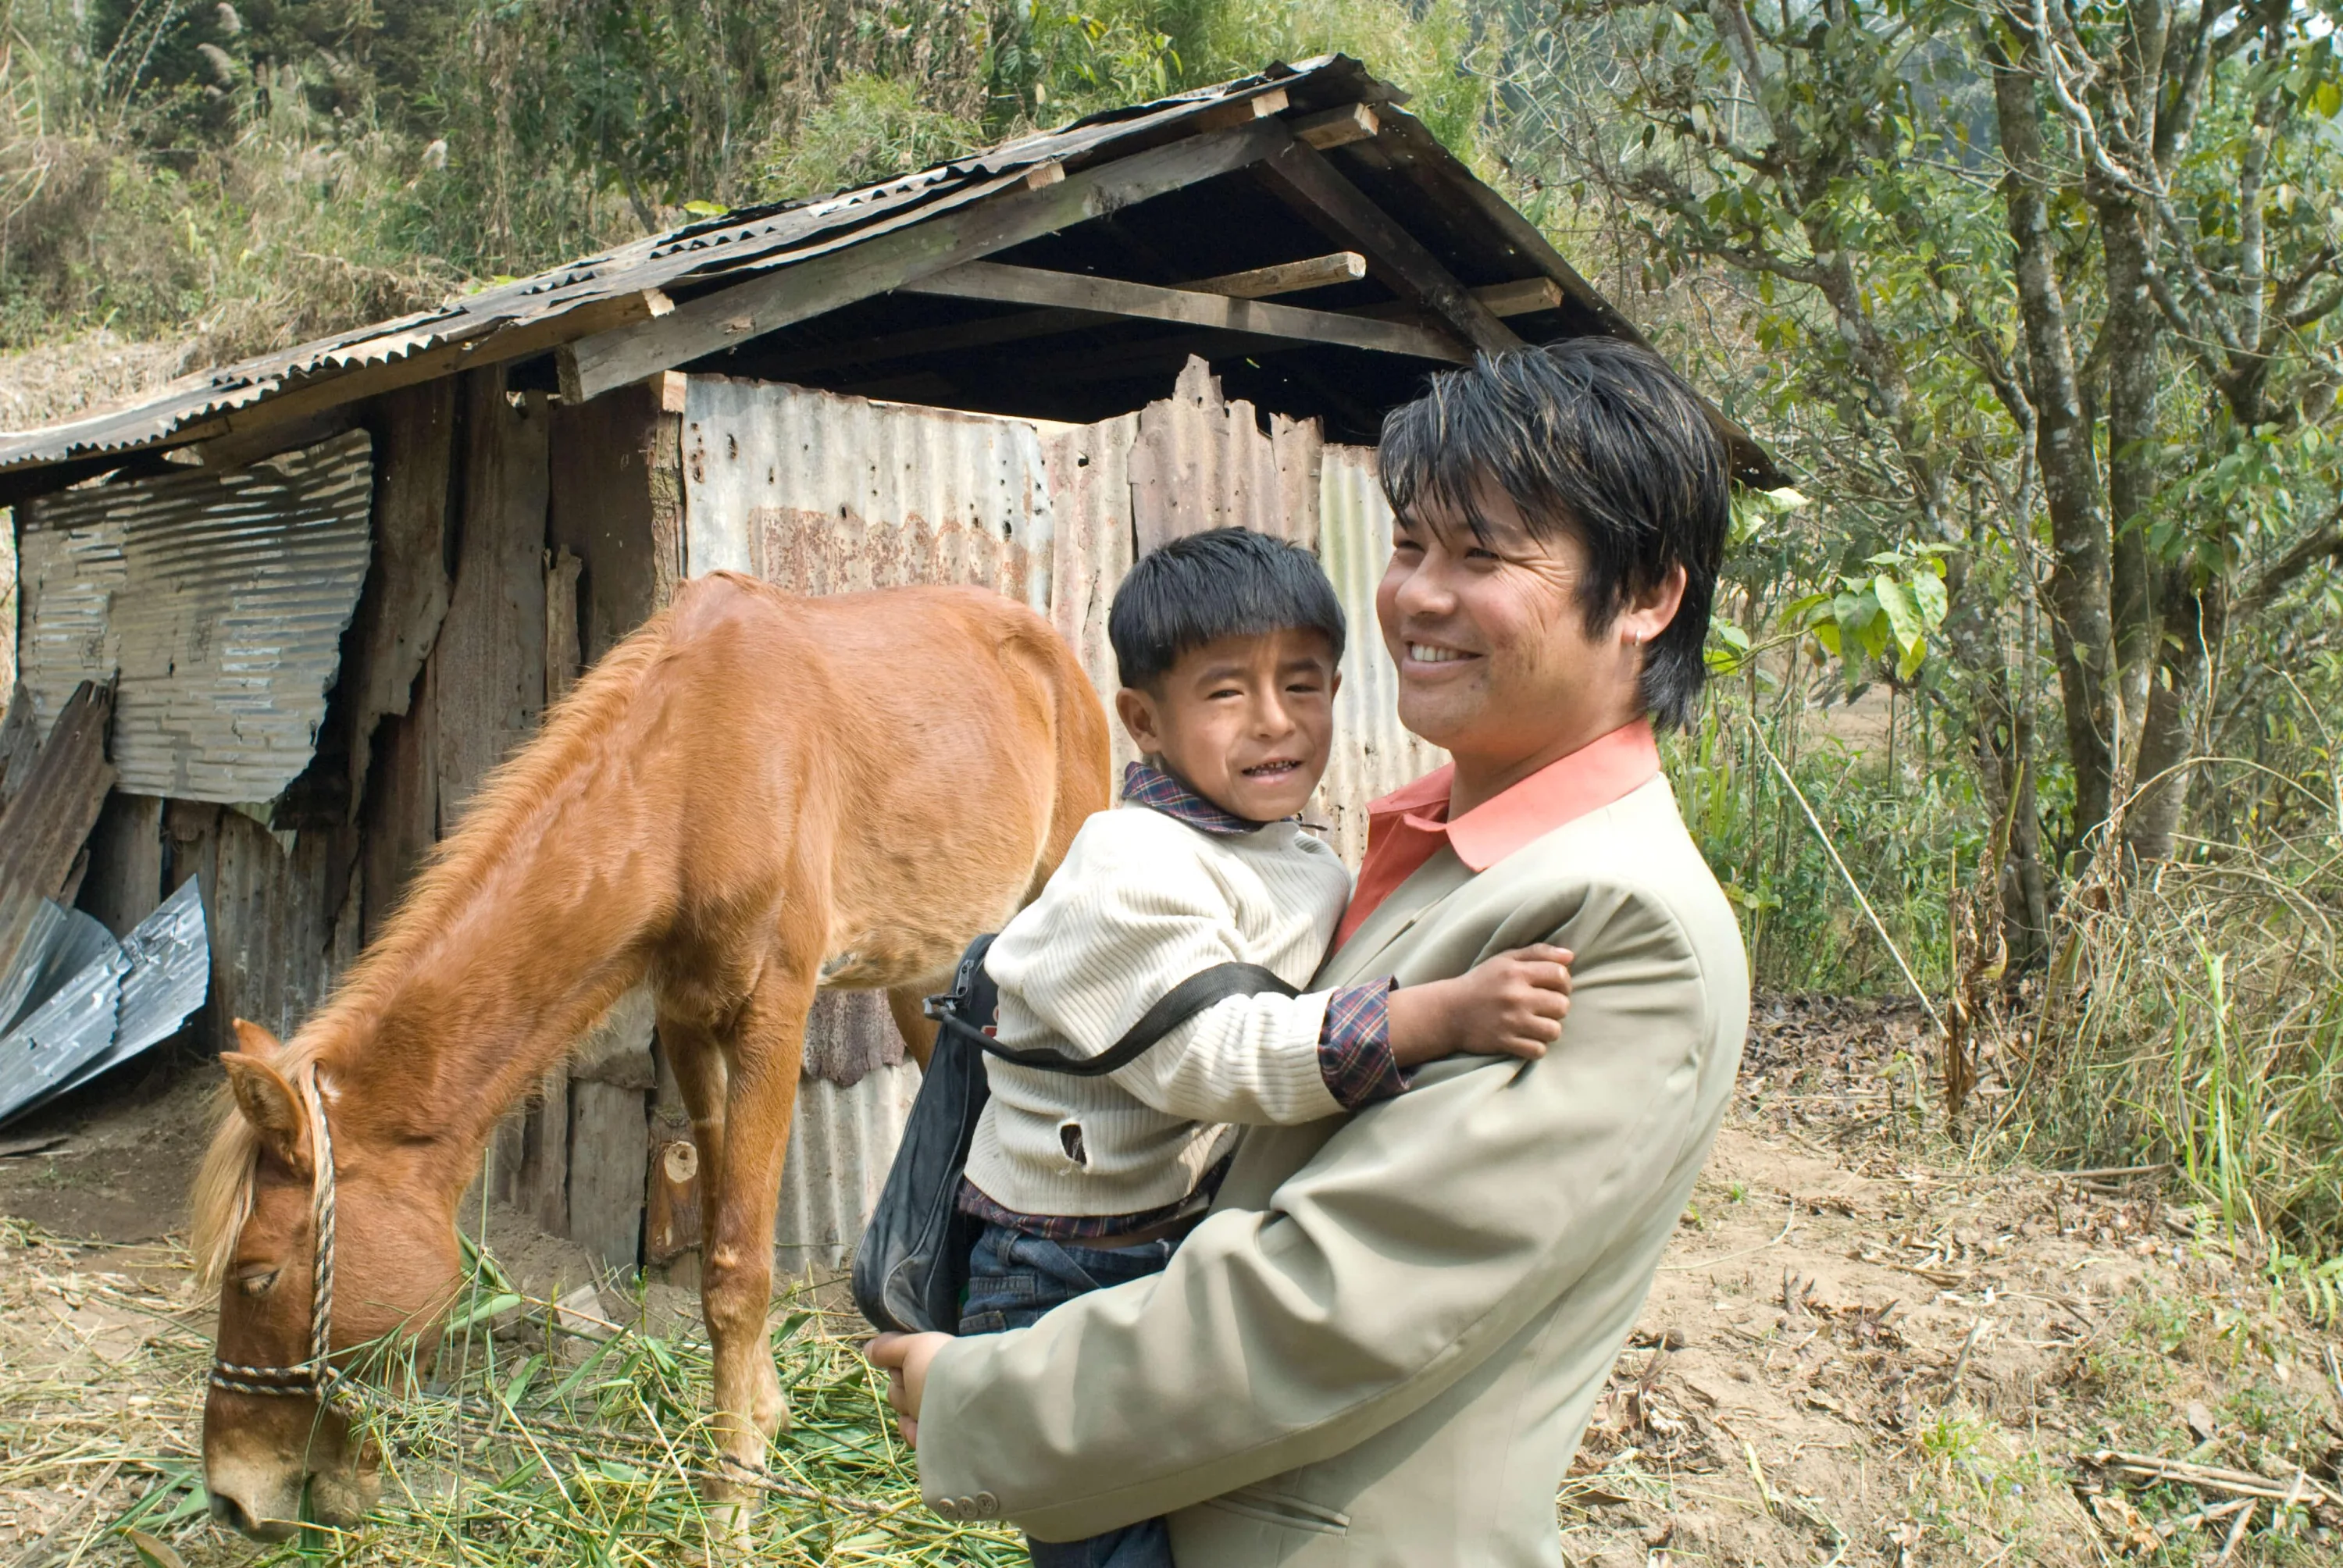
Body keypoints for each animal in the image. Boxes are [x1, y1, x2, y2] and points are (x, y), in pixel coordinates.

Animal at [191, 571, 1110, 1539]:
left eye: (256, 1275)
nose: (232, 1494)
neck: (691, 776)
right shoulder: (686, 1017)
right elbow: (716, 1233)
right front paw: (763, 1420)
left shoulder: (773, 1015)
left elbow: (738, 1266)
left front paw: (732, 1499)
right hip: (929, 968)